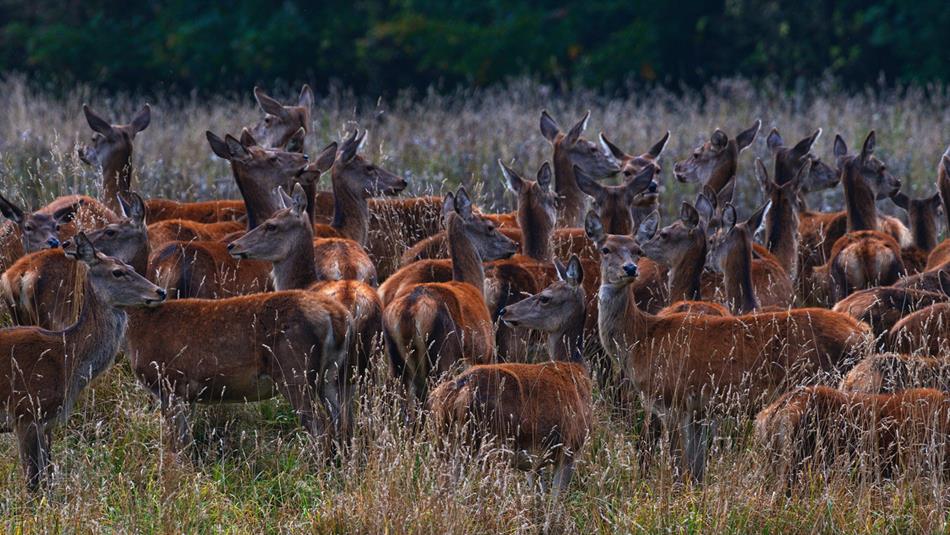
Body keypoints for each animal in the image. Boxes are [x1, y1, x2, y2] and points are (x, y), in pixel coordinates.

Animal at [0, 233, 166, 490]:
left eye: (130, 267)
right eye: (117, 272)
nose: (160, 291)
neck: (67, 359)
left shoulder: (47, 421)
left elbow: (48, 476)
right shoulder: (25, 412)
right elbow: (33, 482)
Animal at [383, 191, 497, 404]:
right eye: (490, 227)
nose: (514, 244)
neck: (472, 285)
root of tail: (409, 312)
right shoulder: (485, 352)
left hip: (396, 363)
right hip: (441, 356)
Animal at [429, 255, 592, 496]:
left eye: (545, 297)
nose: (505, 311)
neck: (577, 370)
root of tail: (459, 390)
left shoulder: (537, 463)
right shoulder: (571, 447)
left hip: (446, 442)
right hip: (488, 445)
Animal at [588, 210, 869, 481]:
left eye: (637, 249)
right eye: (606, 249)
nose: (630, 268)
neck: (642, 339)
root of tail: (863, 333)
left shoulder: (673, 398)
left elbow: (680, 466)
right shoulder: (699, 409)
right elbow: (696, 469)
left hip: (819, 379)